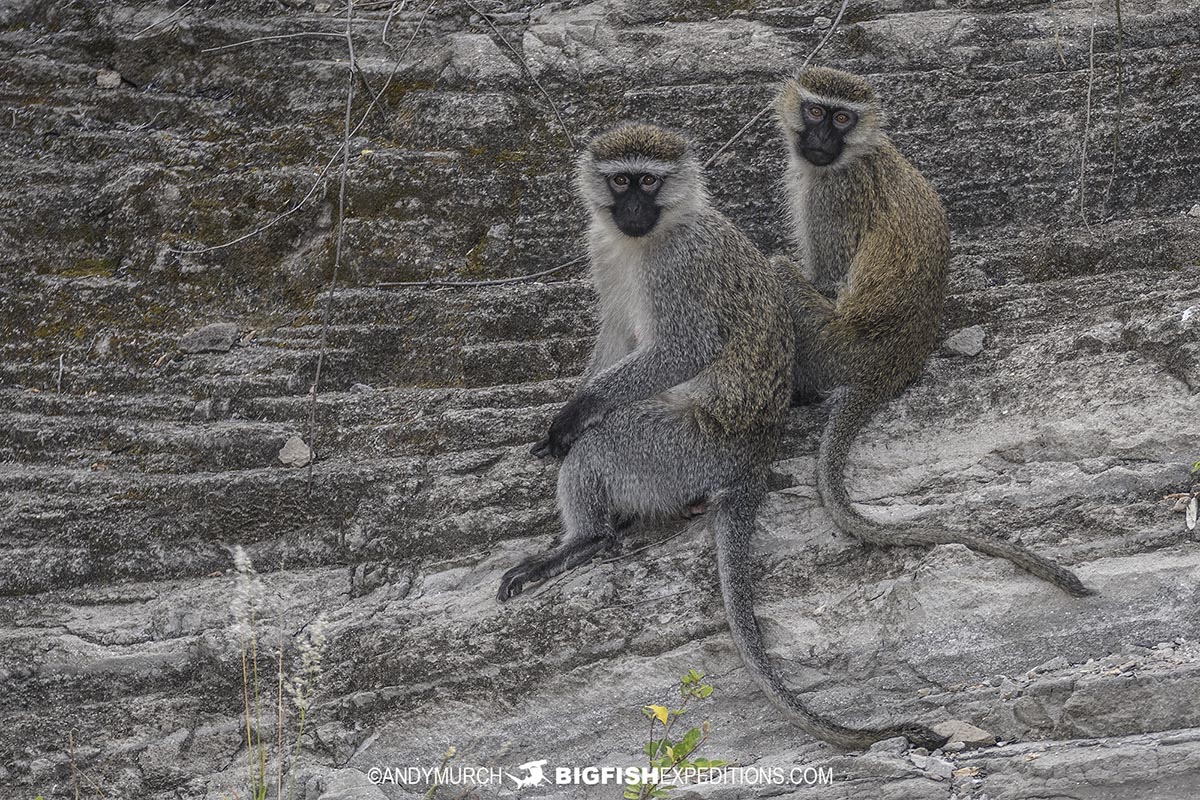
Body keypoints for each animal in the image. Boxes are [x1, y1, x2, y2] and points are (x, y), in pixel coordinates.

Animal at [494, 123, 945, 753]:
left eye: (650, 181)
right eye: (621, 181)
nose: (633, 210)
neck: (651, 239)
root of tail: (752, 460)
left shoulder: (679, 267)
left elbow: (682, 351)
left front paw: (577, 412)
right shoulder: (605, 250)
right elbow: (615, 335)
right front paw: (575, 405)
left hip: (685, 451)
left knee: (605, 443)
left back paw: (583, 539)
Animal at [772, 67, 1094, 594]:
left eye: (842, 118)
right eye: (816, 111)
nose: (820, 139)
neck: (856, 154)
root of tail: (890, 367)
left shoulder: (832, 198)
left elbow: (830, 282)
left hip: (831, 346)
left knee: (780, 273)